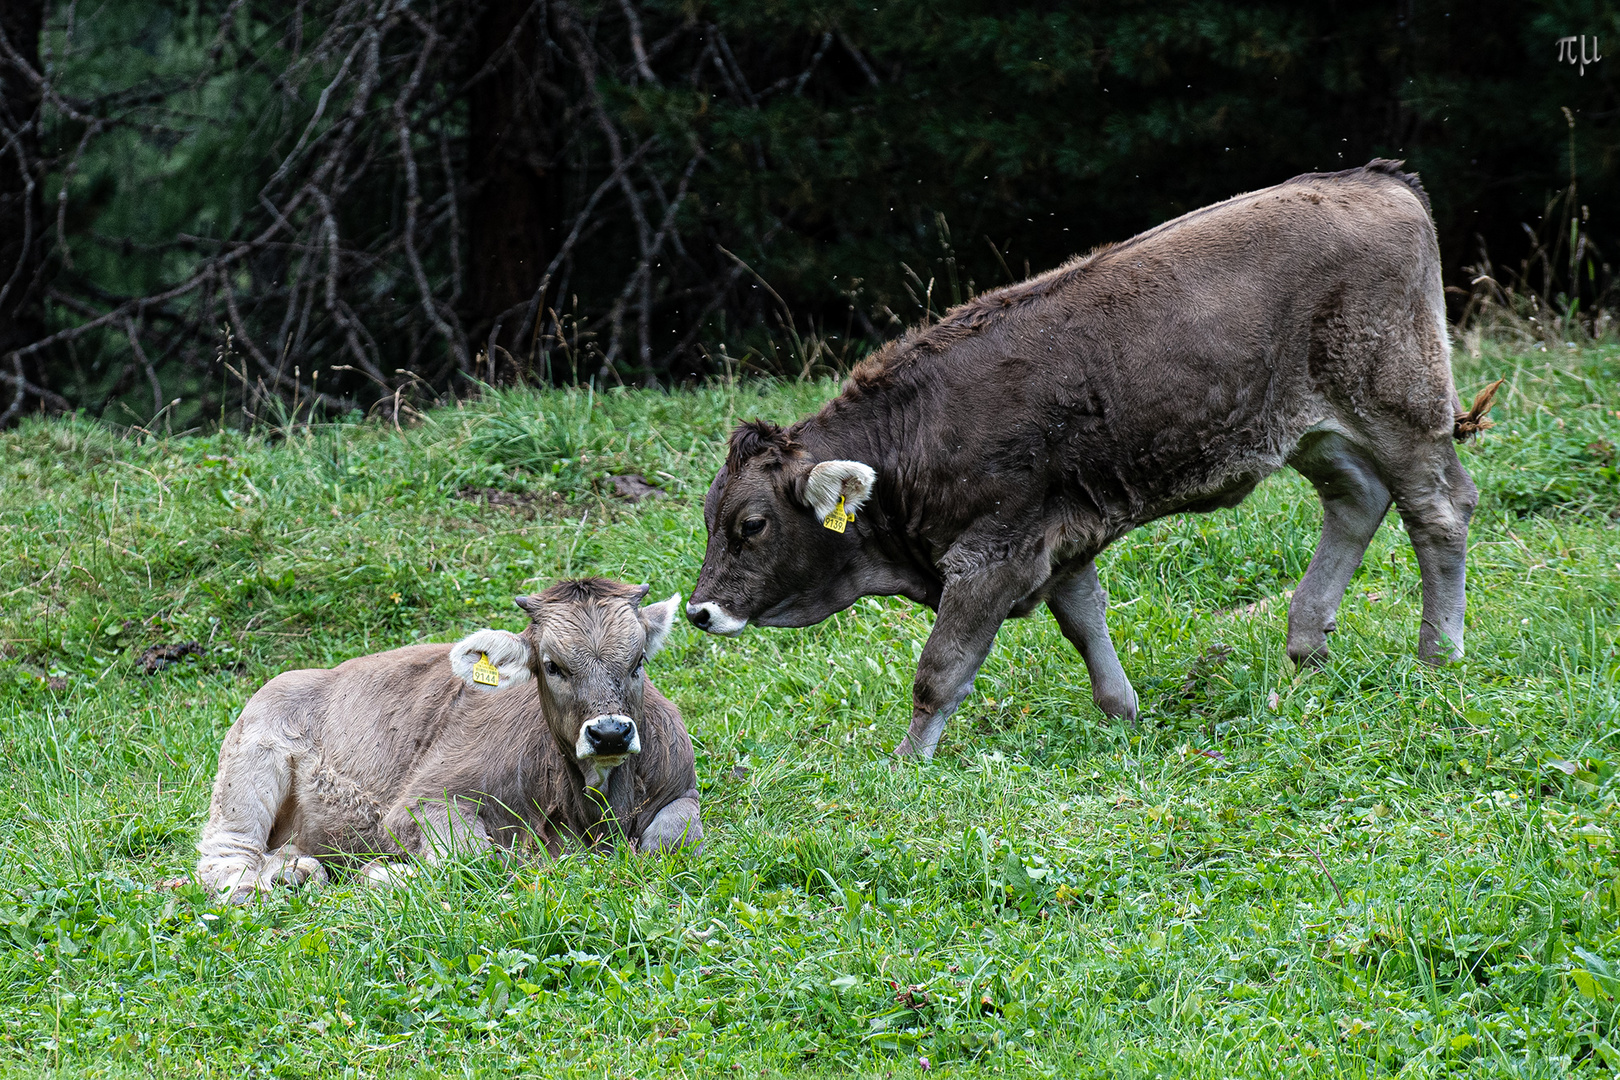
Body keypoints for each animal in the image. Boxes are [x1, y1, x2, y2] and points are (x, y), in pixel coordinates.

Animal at [192, 579, 699, 900]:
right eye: (552, 665)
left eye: (638, 661)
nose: (610, 733)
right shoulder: (422, 801)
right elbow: (476, 858)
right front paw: (384, 875)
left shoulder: (683, 791)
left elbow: (670, 842)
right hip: (250, 759)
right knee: (226, 857)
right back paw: (258, 888)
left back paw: (297, 871)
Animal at [683, 165, 1490, 764]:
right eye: (710, 518)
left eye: (751, 524)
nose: (699, 610)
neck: (915, 436)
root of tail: (1377, 178)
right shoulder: (1058, 539)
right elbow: (1084, 621)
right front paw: (1122, 712)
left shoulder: (991, 555)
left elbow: (940, 670)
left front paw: (906, 764)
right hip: (1314, 429)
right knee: (1357, 499)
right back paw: (1306, 642)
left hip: (1400, 404)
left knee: (1438, 510)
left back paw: (1438, 655)